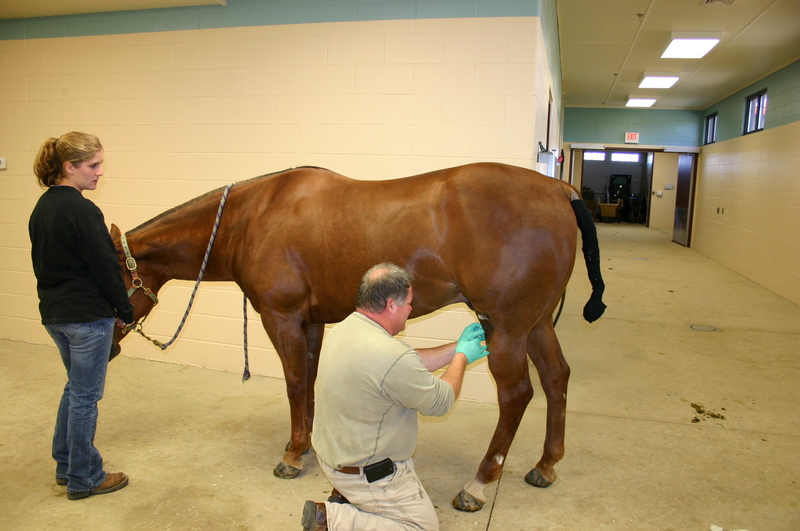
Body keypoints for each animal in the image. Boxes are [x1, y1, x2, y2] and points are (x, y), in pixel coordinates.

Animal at [108, 162, 608, 512]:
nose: (108, 347)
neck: (252, 216)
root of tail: (558, 190)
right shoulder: (310, 322)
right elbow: (307, 383)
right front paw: (307, 445)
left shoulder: (281, 317)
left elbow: (294, 383)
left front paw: (292, 455)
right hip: (536, 325)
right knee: (557, 379)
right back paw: (545, 465)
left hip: (506, 328)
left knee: (518, 394)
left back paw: (478, 484)